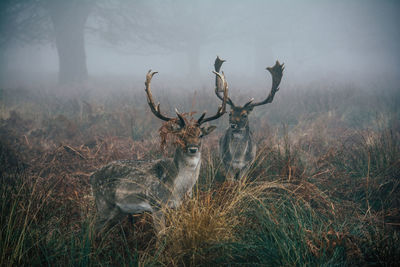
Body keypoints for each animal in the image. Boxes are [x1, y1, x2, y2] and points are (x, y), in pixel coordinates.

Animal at [91, 69, 228, 234]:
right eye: (180, 135)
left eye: (200, 135)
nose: (193, 148)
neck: (179, 189)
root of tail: (93, 176)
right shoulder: (157, 204)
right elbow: (162, 235)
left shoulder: (177, 206)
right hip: (103, 204)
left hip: (118, 211)